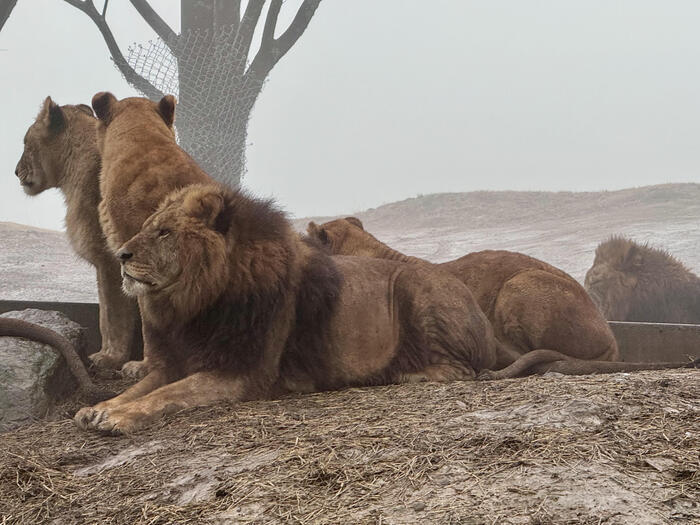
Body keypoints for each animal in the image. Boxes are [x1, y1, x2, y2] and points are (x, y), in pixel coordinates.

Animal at [75, 184, 504, 434]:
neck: (192, 303)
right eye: (149, 227)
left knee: (463, 369)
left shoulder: (243, 373)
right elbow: (143, 387)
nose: (121, 255)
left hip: (417, 289)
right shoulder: (175, 361)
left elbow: (169, 394)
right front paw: (98, 408)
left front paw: (119, 417)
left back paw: (405, 373)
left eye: (164, 232)